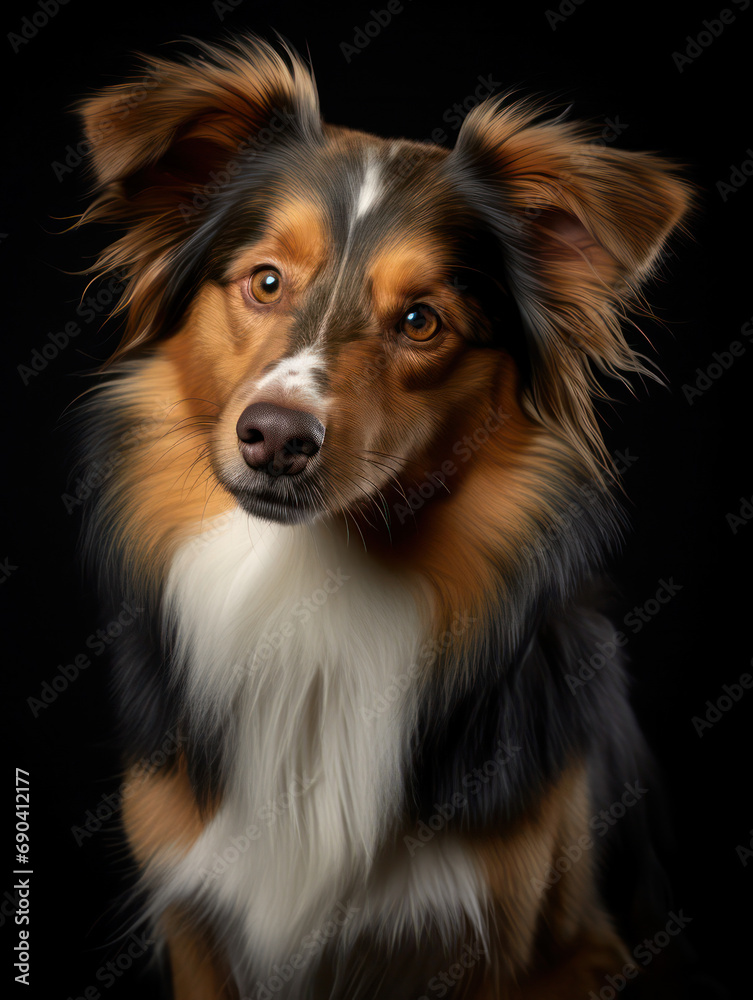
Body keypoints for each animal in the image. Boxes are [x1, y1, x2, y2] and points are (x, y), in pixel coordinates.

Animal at [73, 35, 692, 1000]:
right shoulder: (195, 921)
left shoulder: (518, 938)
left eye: (421, 320)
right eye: (264, 281)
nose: (275, 438)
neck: (314, 584)